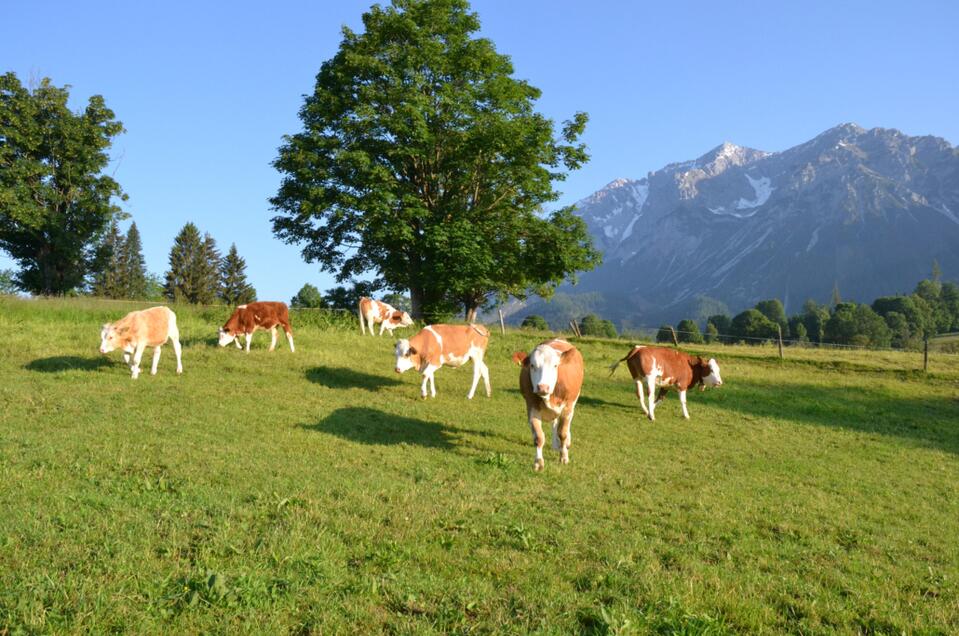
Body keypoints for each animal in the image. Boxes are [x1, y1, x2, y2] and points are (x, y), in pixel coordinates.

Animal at [512, 340, 588, 470]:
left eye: (555, 366)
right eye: (532, 365)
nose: (543, 387)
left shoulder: (567, 408)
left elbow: (563, 433)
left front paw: (564, 457)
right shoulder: (532, 407)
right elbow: (539, 437)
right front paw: (538, 462)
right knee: (554, 423)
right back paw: (555, 445)